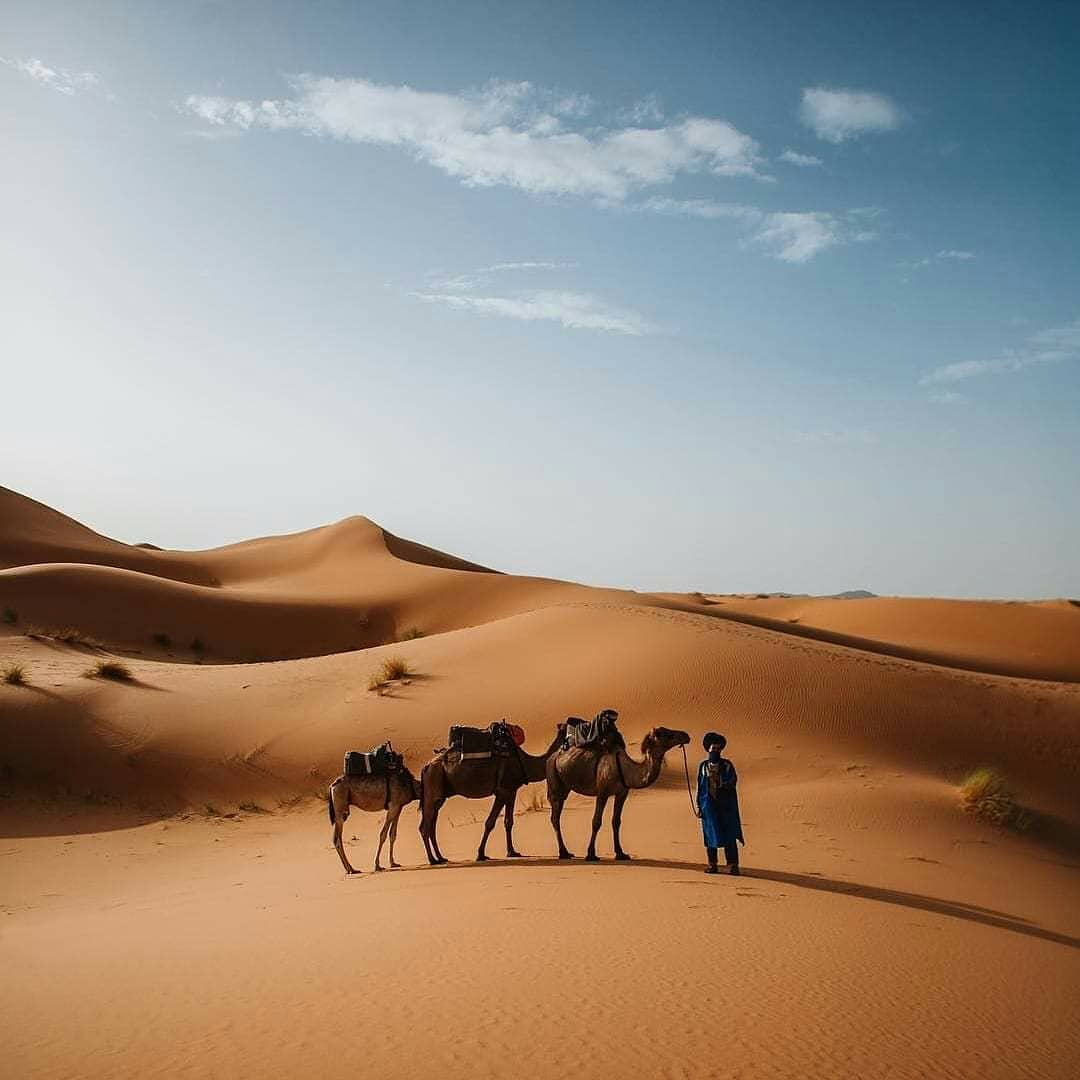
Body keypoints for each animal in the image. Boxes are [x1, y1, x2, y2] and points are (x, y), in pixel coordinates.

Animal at [419, 724, 566, 865]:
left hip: (439, 795)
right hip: (433, 786)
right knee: (425, 827)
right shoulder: (502, 791)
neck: (525, 762)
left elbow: (508, 822)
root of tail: (426, 767)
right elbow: (490, 823)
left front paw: (512, 852)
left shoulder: (512, 791)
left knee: (431, 826)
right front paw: (480, 854)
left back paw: (441, 858)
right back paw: (432, 860)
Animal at [546, 726, 691, 861]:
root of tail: (553, 756)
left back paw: (566, 852)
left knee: (557, 815)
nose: (686, 735)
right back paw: (563, 853)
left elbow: (616, 821)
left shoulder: (622, 793)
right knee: (555, 818)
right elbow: (596, 821)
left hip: (565, 787)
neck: (626, 770)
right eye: (667, 734)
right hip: (553, 779)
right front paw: (591, 854)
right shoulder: (602, 792)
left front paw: (620, 853)